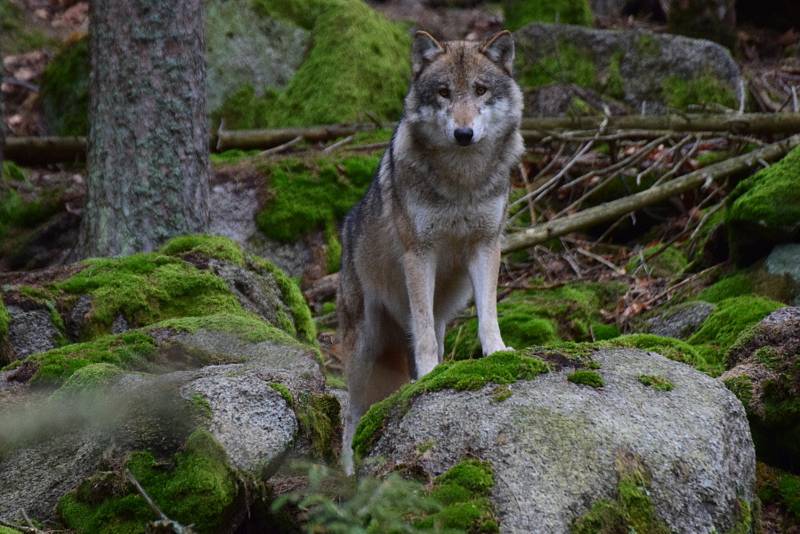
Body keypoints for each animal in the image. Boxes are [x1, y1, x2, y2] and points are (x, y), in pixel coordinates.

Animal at [338, 29, 524, 474]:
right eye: (444, 92)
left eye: (479, 90)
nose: (463, 133)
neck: (463, 179)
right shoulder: (419, 254)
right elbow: (421, 338)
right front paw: (427, 376)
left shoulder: (486, 246)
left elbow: (488, 314)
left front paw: (497, 352)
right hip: (366, 345)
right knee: (350, 413)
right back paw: (348, 470)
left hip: (441, 312)